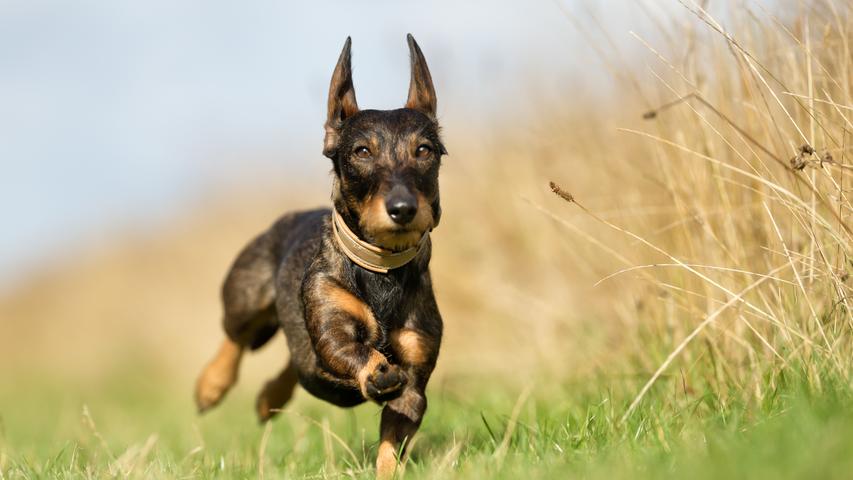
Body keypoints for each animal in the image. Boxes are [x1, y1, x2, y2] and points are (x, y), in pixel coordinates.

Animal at [194, 34, 446, 480]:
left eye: (425, 150)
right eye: (361, 151)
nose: (402, 208)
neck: (382, 269)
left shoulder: (415, 382)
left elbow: (392, 445)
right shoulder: (332, 330)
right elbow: (351, 350)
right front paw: (376, 371)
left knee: (295, 364)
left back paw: (268, 398)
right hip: (245, 294)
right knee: (236, 337)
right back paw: (211, 386)